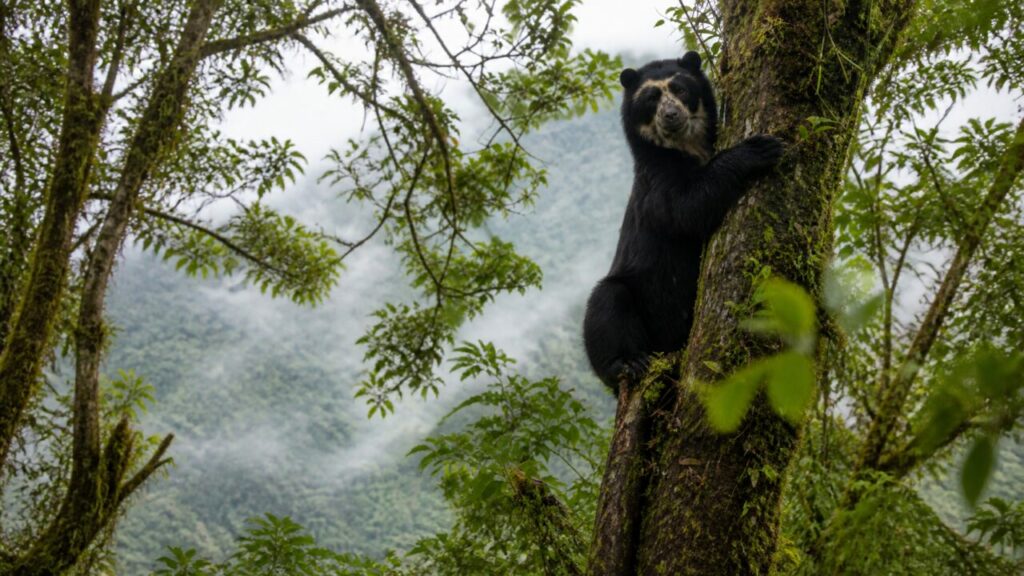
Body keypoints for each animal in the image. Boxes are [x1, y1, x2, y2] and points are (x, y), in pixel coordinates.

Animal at [582, 51, 783, 391]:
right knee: (607, 303)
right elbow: (686, 209)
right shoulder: (655, 182)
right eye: (651, 98)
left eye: (680, 89)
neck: (685, 147)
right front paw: (759, 148)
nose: (671, 115)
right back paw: (628, 363)